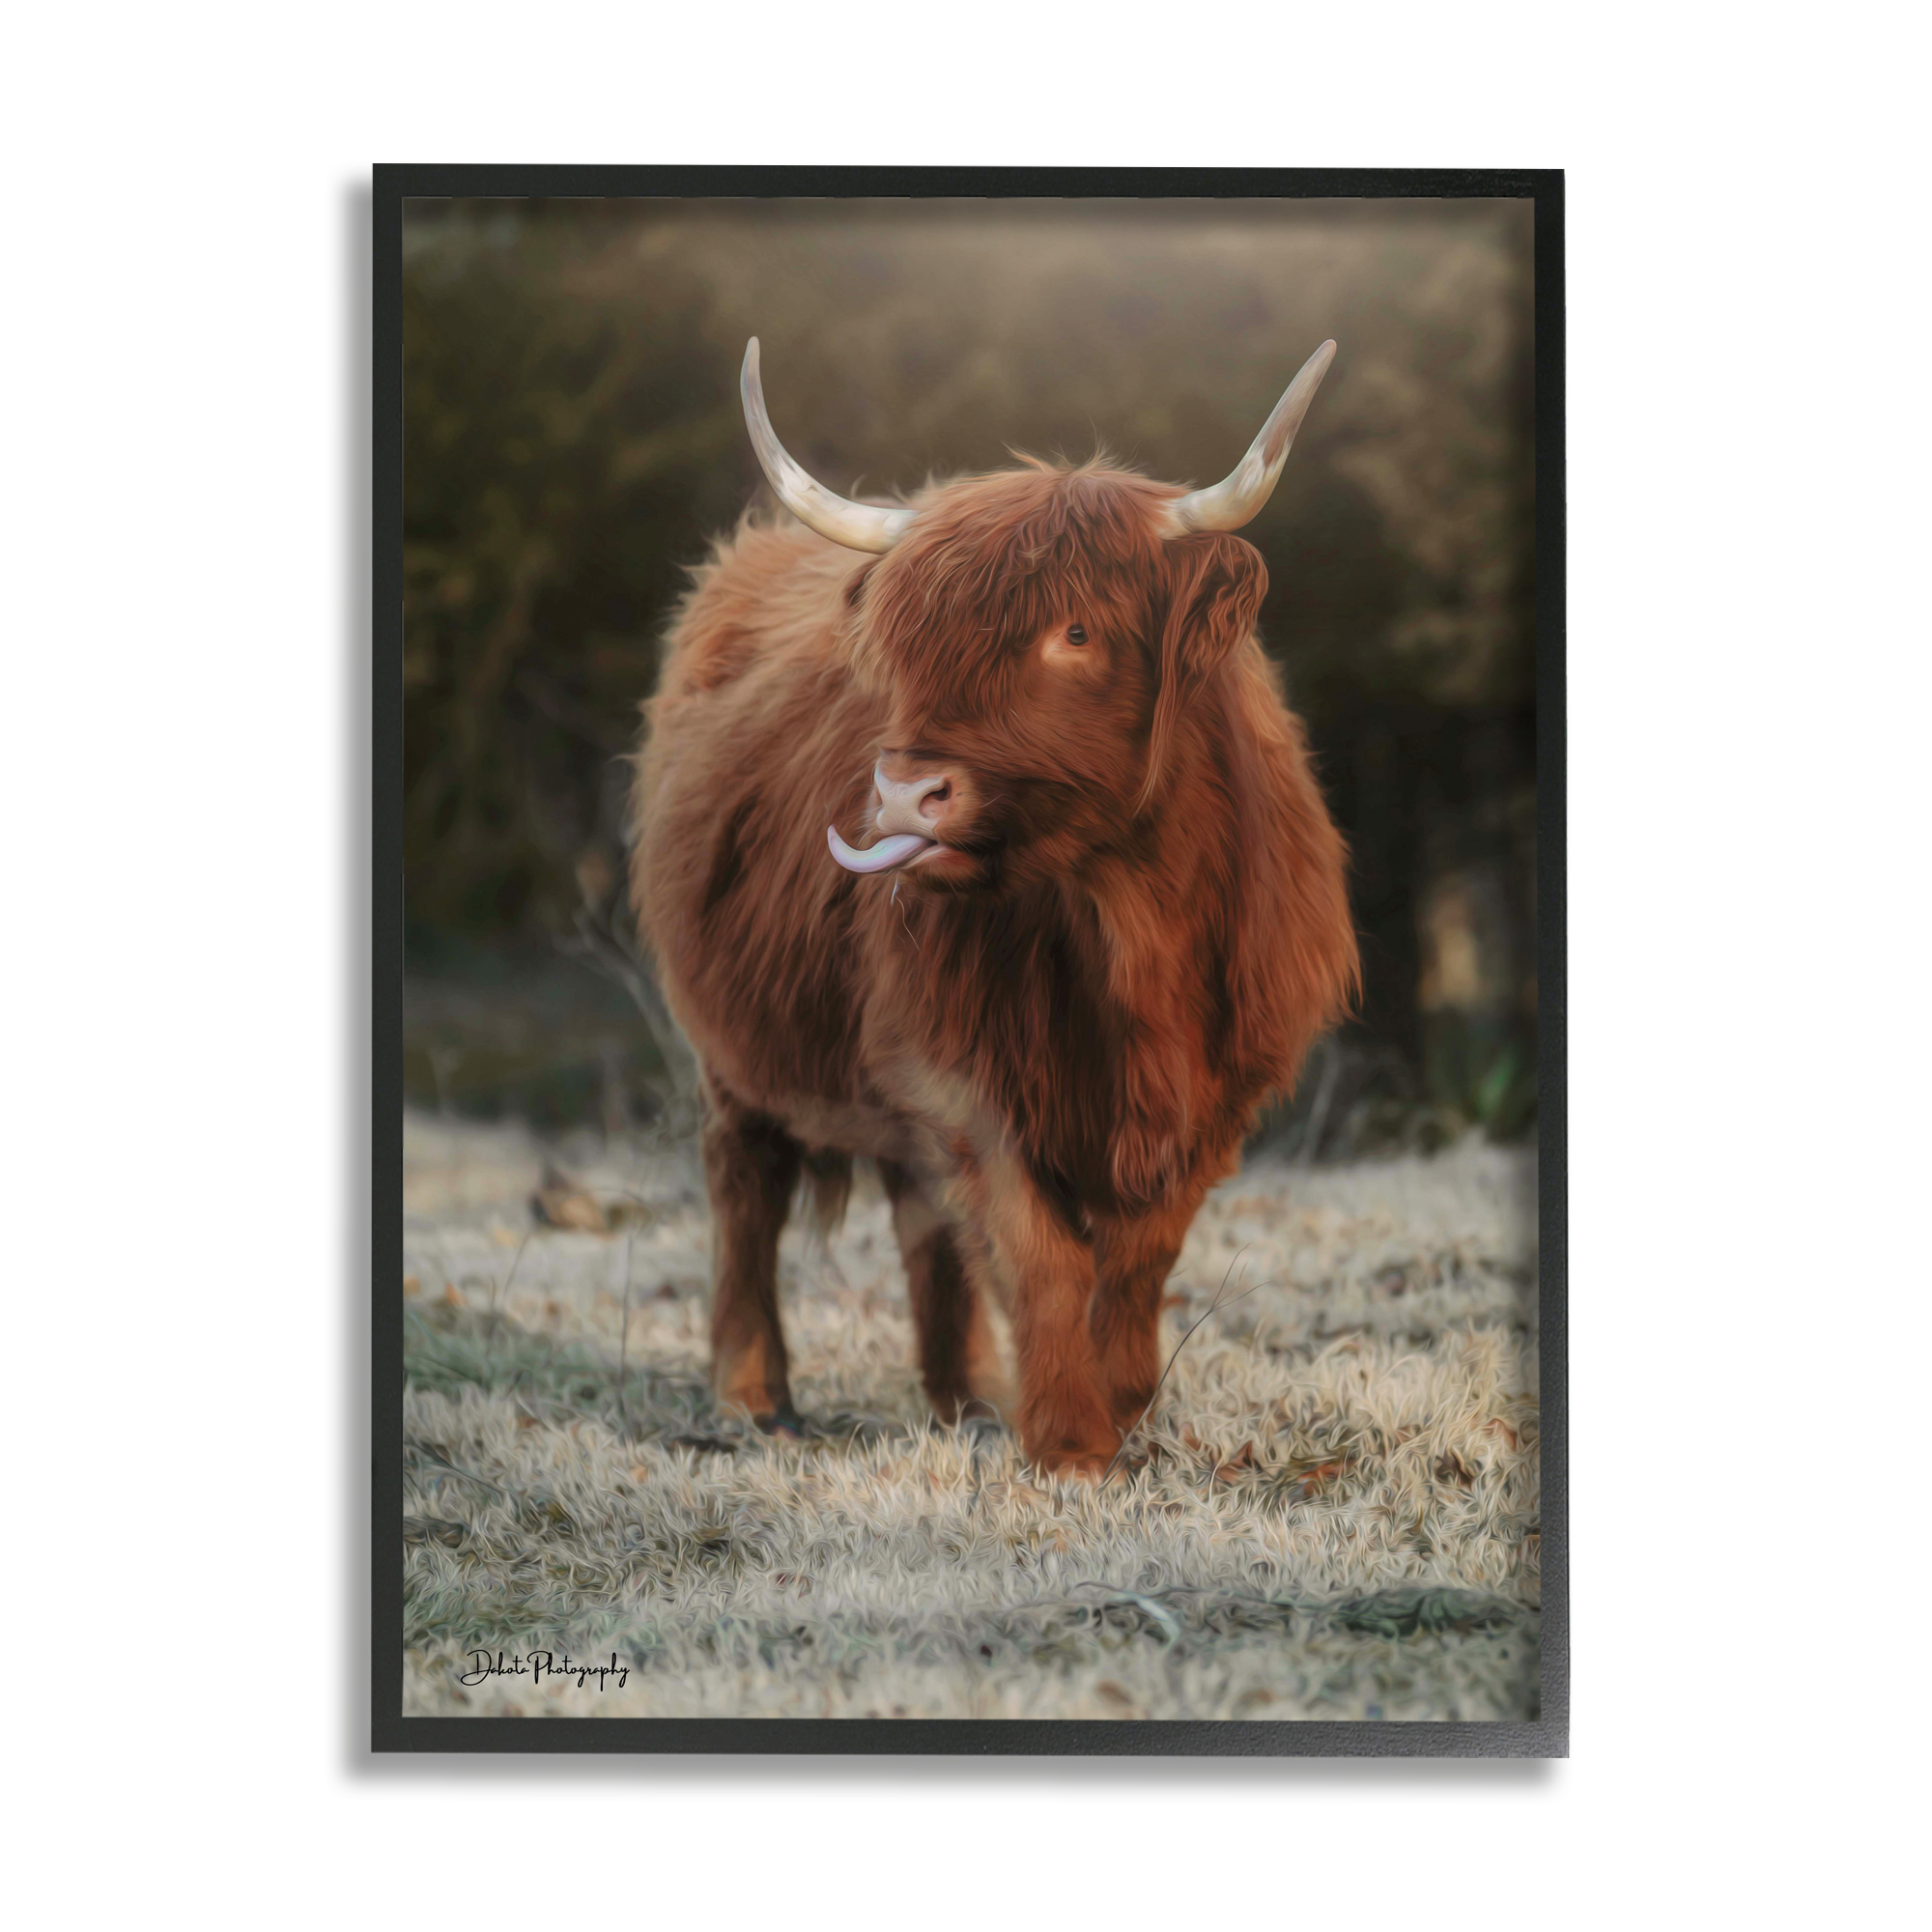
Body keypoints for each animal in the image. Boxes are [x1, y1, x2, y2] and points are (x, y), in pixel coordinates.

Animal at [631, 338, 1358, 1477]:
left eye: (1077, 629)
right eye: (906, 646)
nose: (899, 795)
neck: (1124, 922)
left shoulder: (1220, 1089)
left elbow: (1141, 1255)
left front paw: (1122, 1408)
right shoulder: (963, 1075)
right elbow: (1040, 1252)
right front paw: (1068, 1444)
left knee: (919, 1218)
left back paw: (965, 1396)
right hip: (732, 1045)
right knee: (745, 1184)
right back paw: (755, 1397)